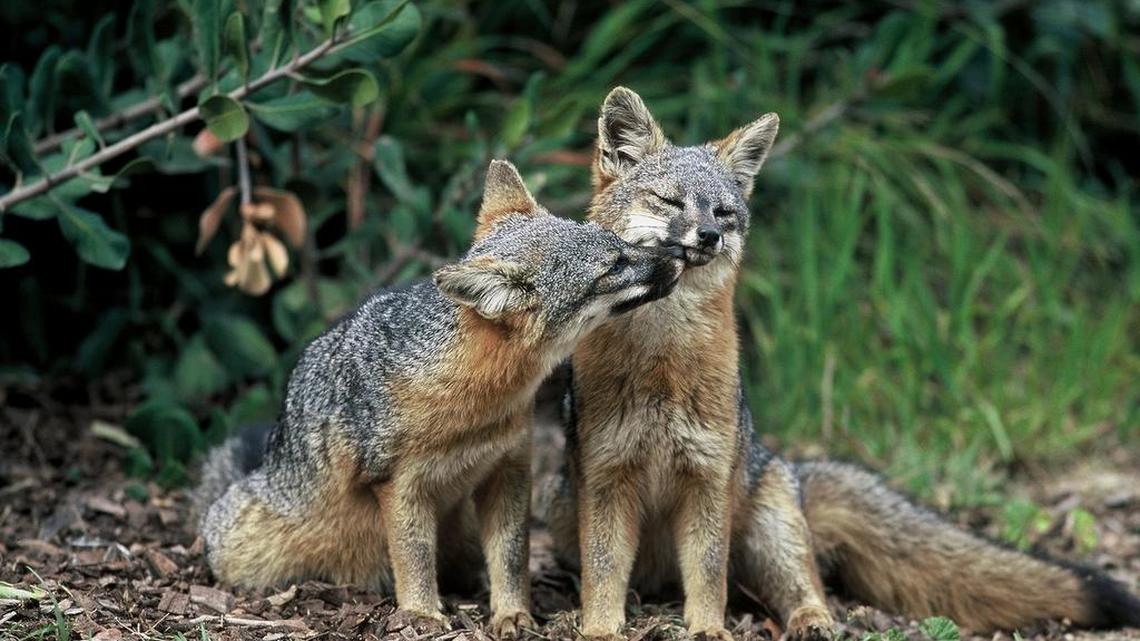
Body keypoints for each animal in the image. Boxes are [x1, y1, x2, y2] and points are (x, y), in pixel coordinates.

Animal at [193, 159, 684, 637]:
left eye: (621, 242)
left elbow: (512, 557)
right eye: (613, 266)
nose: (678, 255)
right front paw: (422, 614)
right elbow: (413, 556)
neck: (474, 408)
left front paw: (512, 615)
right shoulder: (398, 485)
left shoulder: (509, 468)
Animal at [539, 87, 1140, 640]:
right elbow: (603, 576)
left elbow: (708, 581)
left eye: (723, 212)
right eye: (668, 201)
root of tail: (786, 464)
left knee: (800, 589)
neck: (662, 364)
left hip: (770, 533)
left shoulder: (707, 480)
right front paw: (599, 629)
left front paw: (708, 630)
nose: (709, 235)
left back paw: (814, 622)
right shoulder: (607, 479)